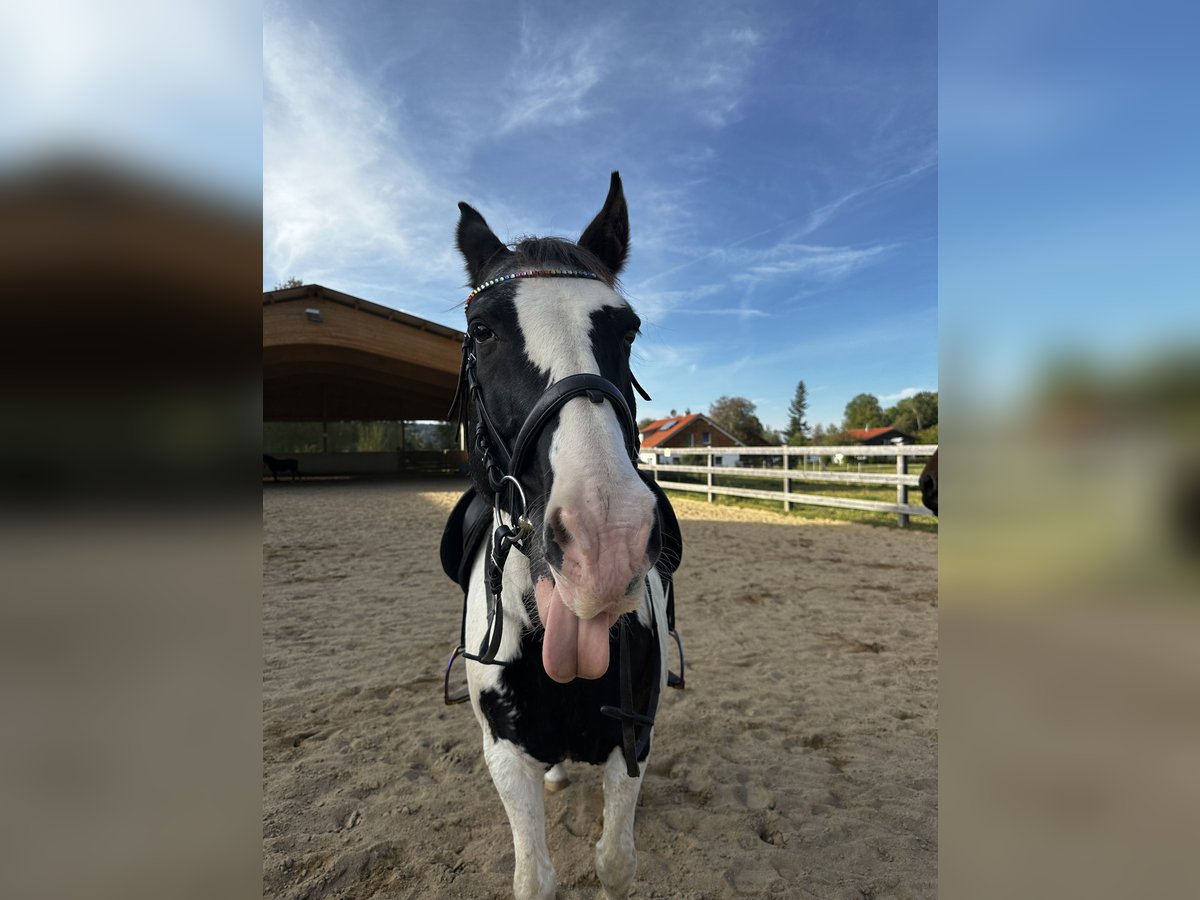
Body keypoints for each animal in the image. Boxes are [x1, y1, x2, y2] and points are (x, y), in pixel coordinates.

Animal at [441, 172, 686, 897]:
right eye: (483, 330)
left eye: (628, 331)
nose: (605, 541)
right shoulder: (504, 755)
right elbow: (535, 878)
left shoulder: (634, 740)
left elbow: (615, 862)